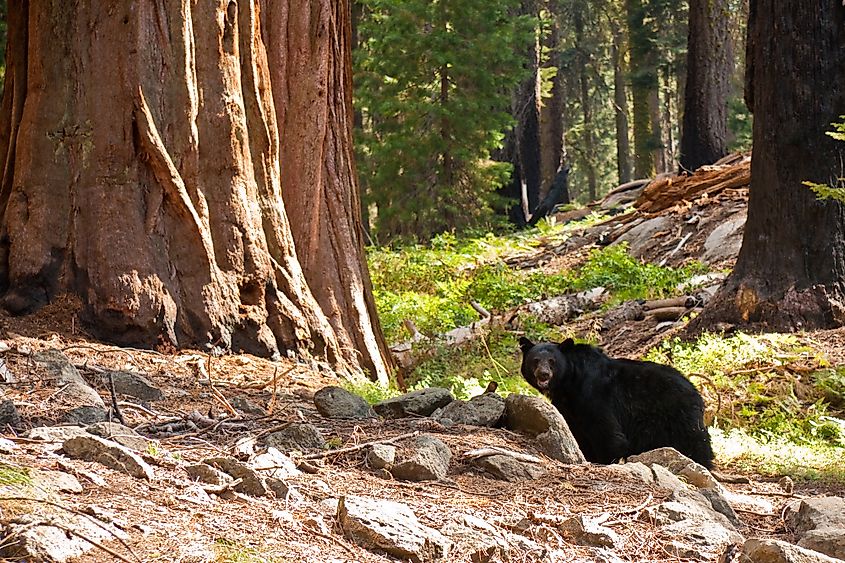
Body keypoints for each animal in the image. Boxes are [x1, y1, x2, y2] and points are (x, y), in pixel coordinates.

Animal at [516, 338, 708, 470]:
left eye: (552, 361)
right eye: (535, 360)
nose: (543, 374)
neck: (569, 382)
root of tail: (696, 392)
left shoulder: (595, 395)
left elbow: (607, 432)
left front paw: (605, 461)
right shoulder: (570, 408)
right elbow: (578, 433)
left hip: (677, 417)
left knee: (695, 444)